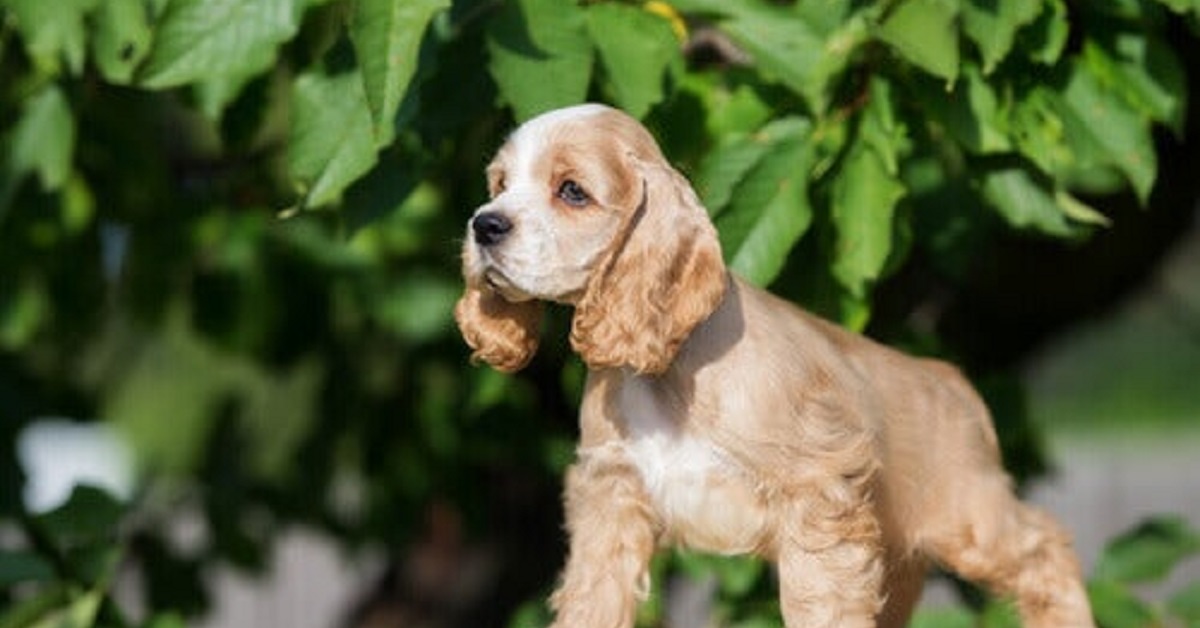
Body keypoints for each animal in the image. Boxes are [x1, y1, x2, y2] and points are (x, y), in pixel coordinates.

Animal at [453, 104, 1094, 628]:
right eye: (500, 184)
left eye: (572, 191)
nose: (484, 224)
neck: (668, 371)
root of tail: (949, 377)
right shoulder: (611, 499)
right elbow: (593, 600)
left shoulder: (820, 500)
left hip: (970, 516)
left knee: (1047, 549)